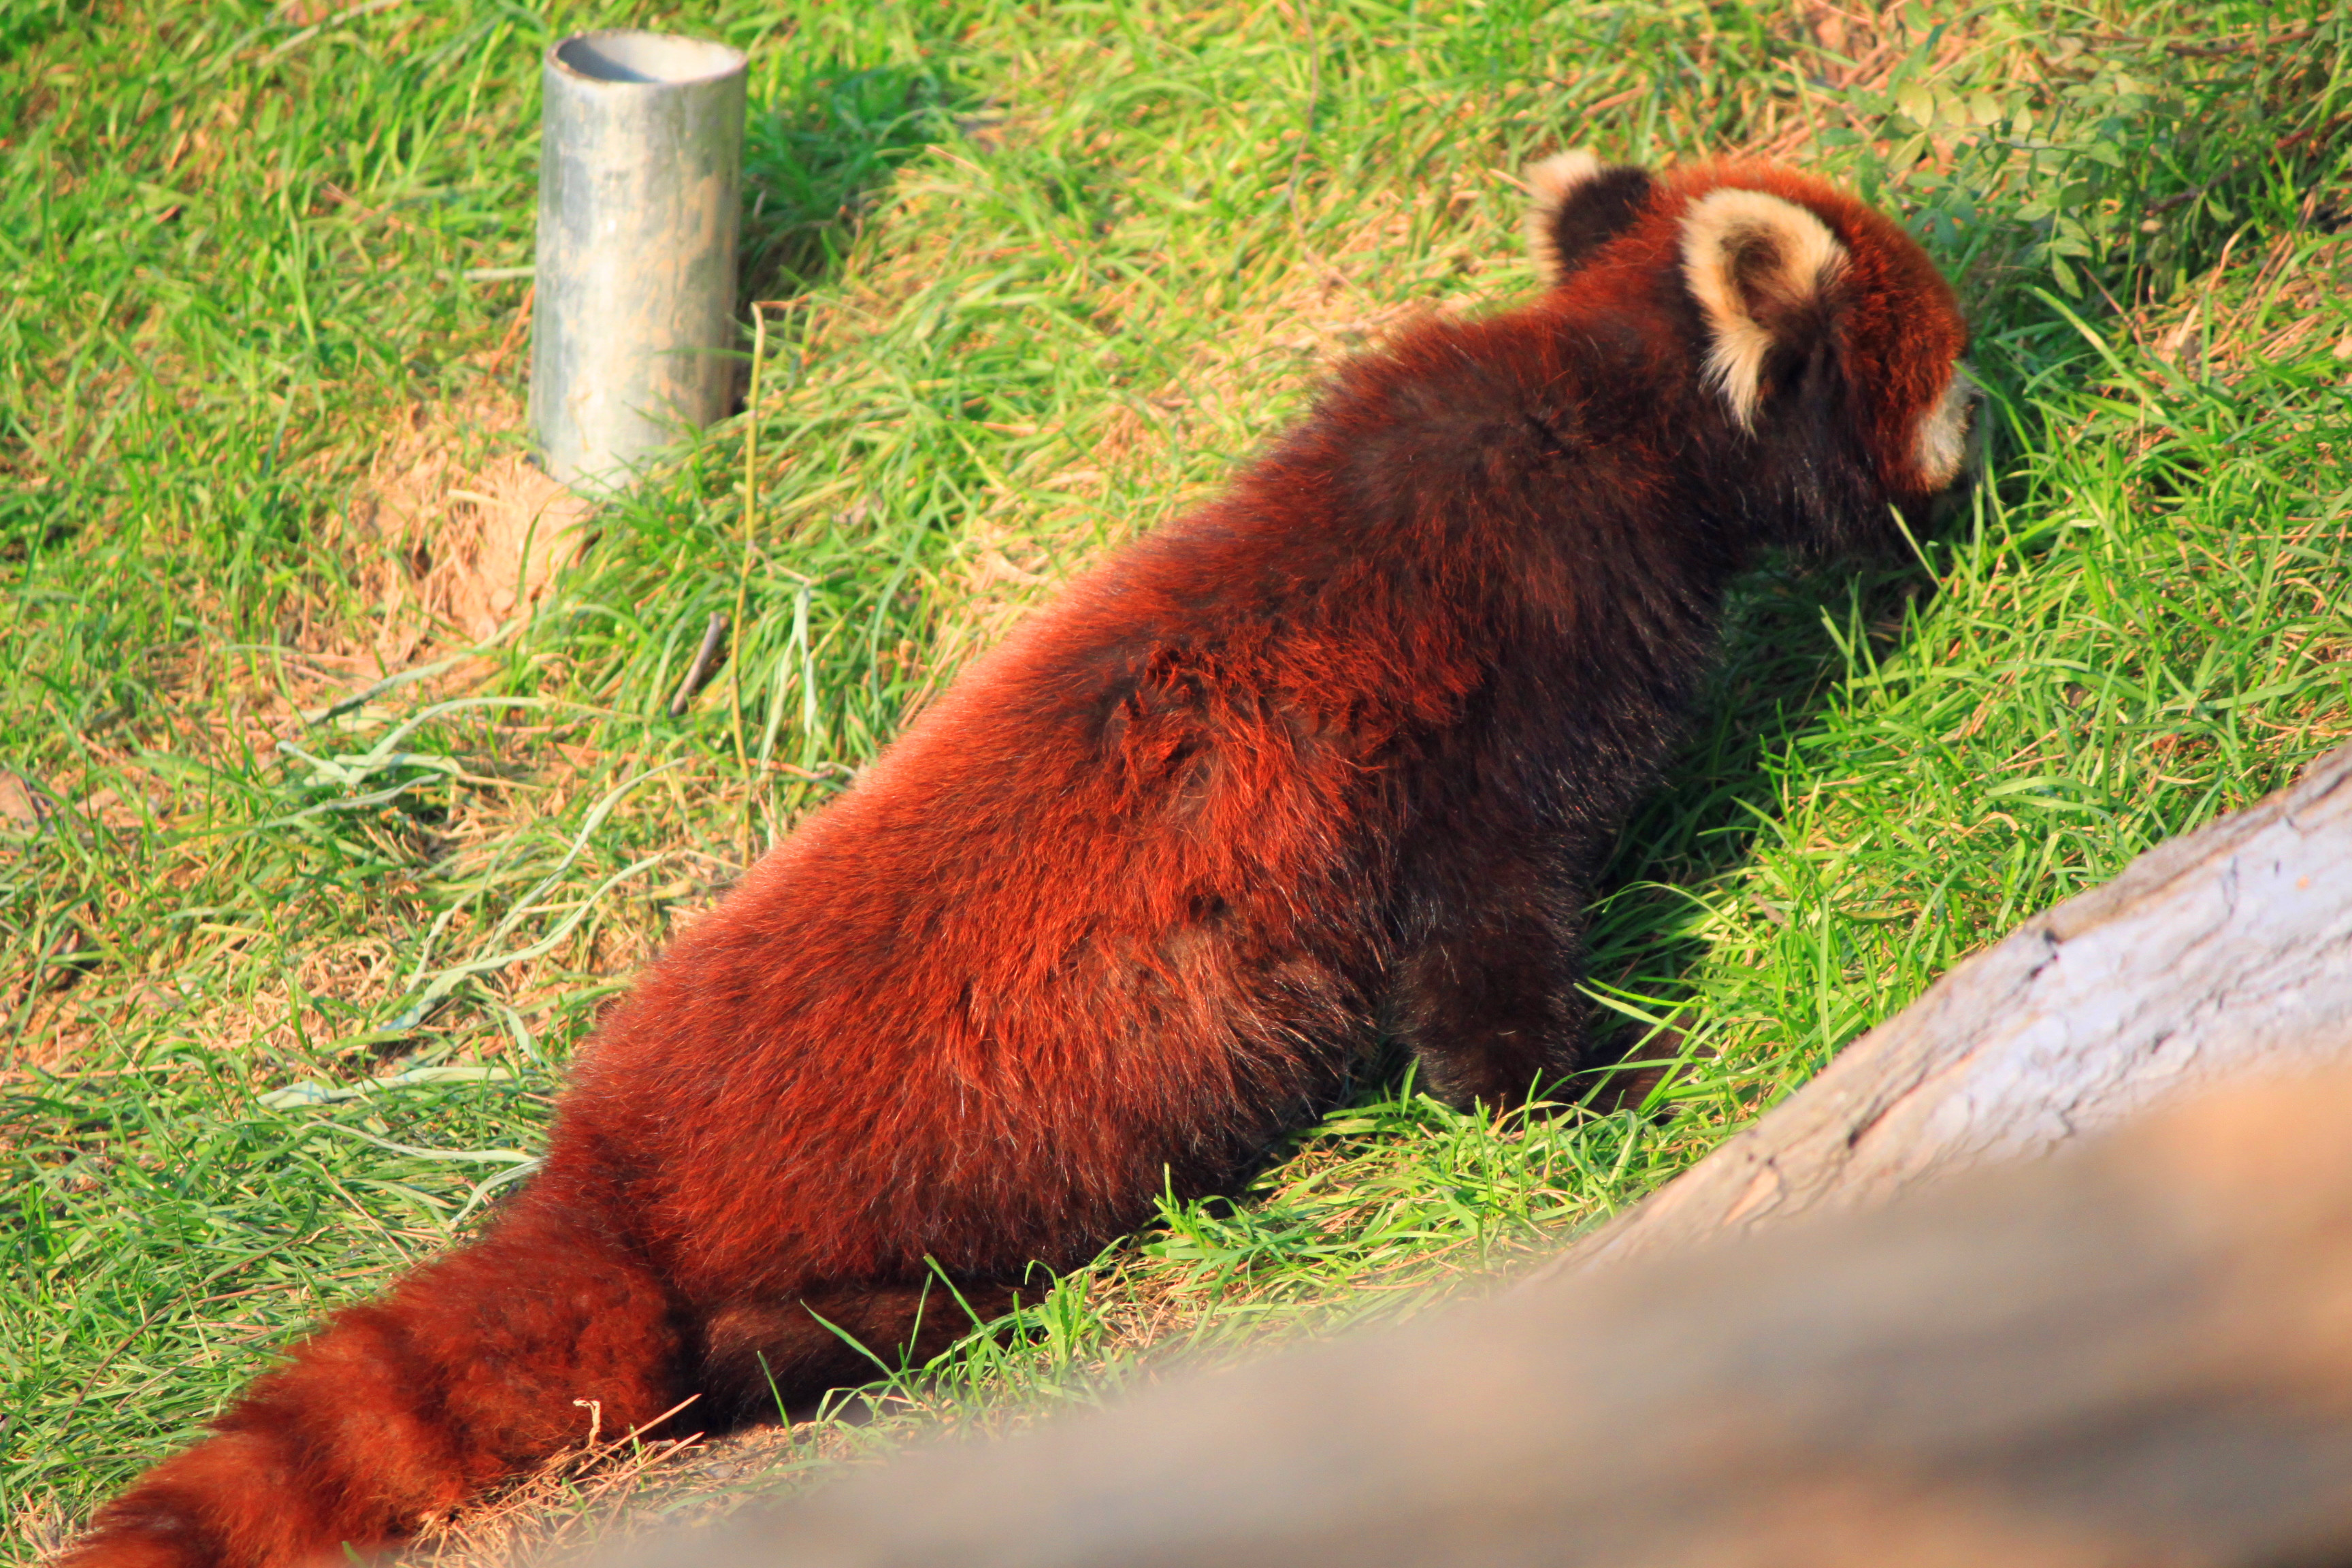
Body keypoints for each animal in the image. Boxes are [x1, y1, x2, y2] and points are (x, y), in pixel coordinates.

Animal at [59, 156, 1966, 1568]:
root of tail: (609, 1169)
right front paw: (1584, 1092)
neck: (1606, 416)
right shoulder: (1484, 709)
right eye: (1943, 374)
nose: (1979, 462)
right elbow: (1481, 949)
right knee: (753, 1346)